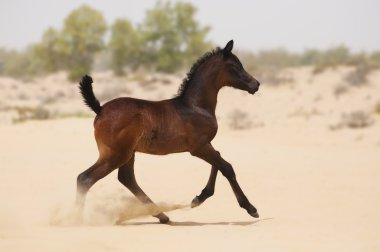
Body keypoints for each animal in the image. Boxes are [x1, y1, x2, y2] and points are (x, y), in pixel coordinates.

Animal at [77, 40, 262, 223]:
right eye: (235, 66)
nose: (256, 84)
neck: (195, 106)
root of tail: (100, 109)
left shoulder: (205, 145)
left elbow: (218, 159)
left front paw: (199, 198)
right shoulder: (198, 148)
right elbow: (227, 167)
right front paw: (250, 208)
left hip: (128, 153)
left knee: (126, 178)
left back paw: (162, 215)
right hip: (115, 155)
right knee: (85, 178)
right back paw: (76, 218)